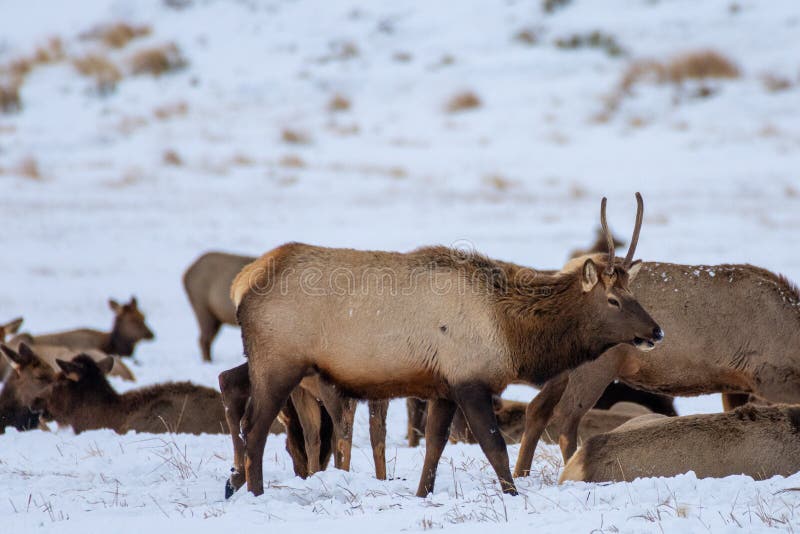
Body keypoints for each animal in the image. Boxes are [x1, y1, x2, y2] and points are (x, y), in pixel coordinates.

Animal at [227, 193, 663, 498]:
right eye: (613, 300)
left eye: (633, 291)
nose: (656, 331)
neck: (513, 333)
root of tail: (245, 282)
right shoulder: (470, 379)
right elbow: (494, 446)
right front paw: (513, 495)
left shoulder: (443, 387)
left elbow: (434, 445)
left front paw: (423, 494)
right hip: (278, 363)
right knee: (256, 426)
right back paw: (255, 492)